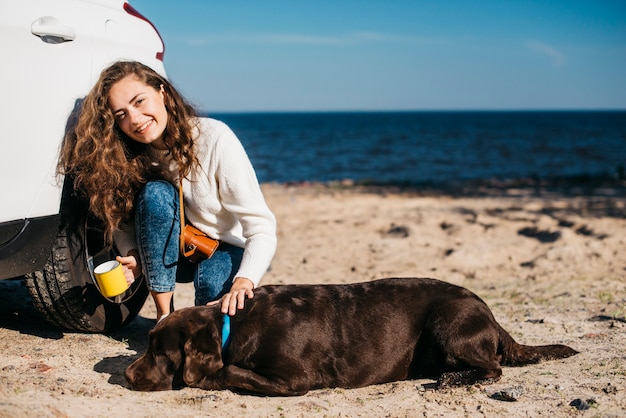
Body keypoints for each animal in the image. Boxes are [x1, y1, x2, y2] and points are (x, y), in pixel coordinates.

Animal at [123, 278, 576, 396]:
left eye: (159, 351)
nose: (126, 376)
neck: (232, 325)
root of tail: (490, 312)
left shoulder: (295, 380)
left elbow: (232, 371)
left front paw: (211, 377)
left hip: (449, 321)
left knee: (493, 367)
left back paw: (449, 381)